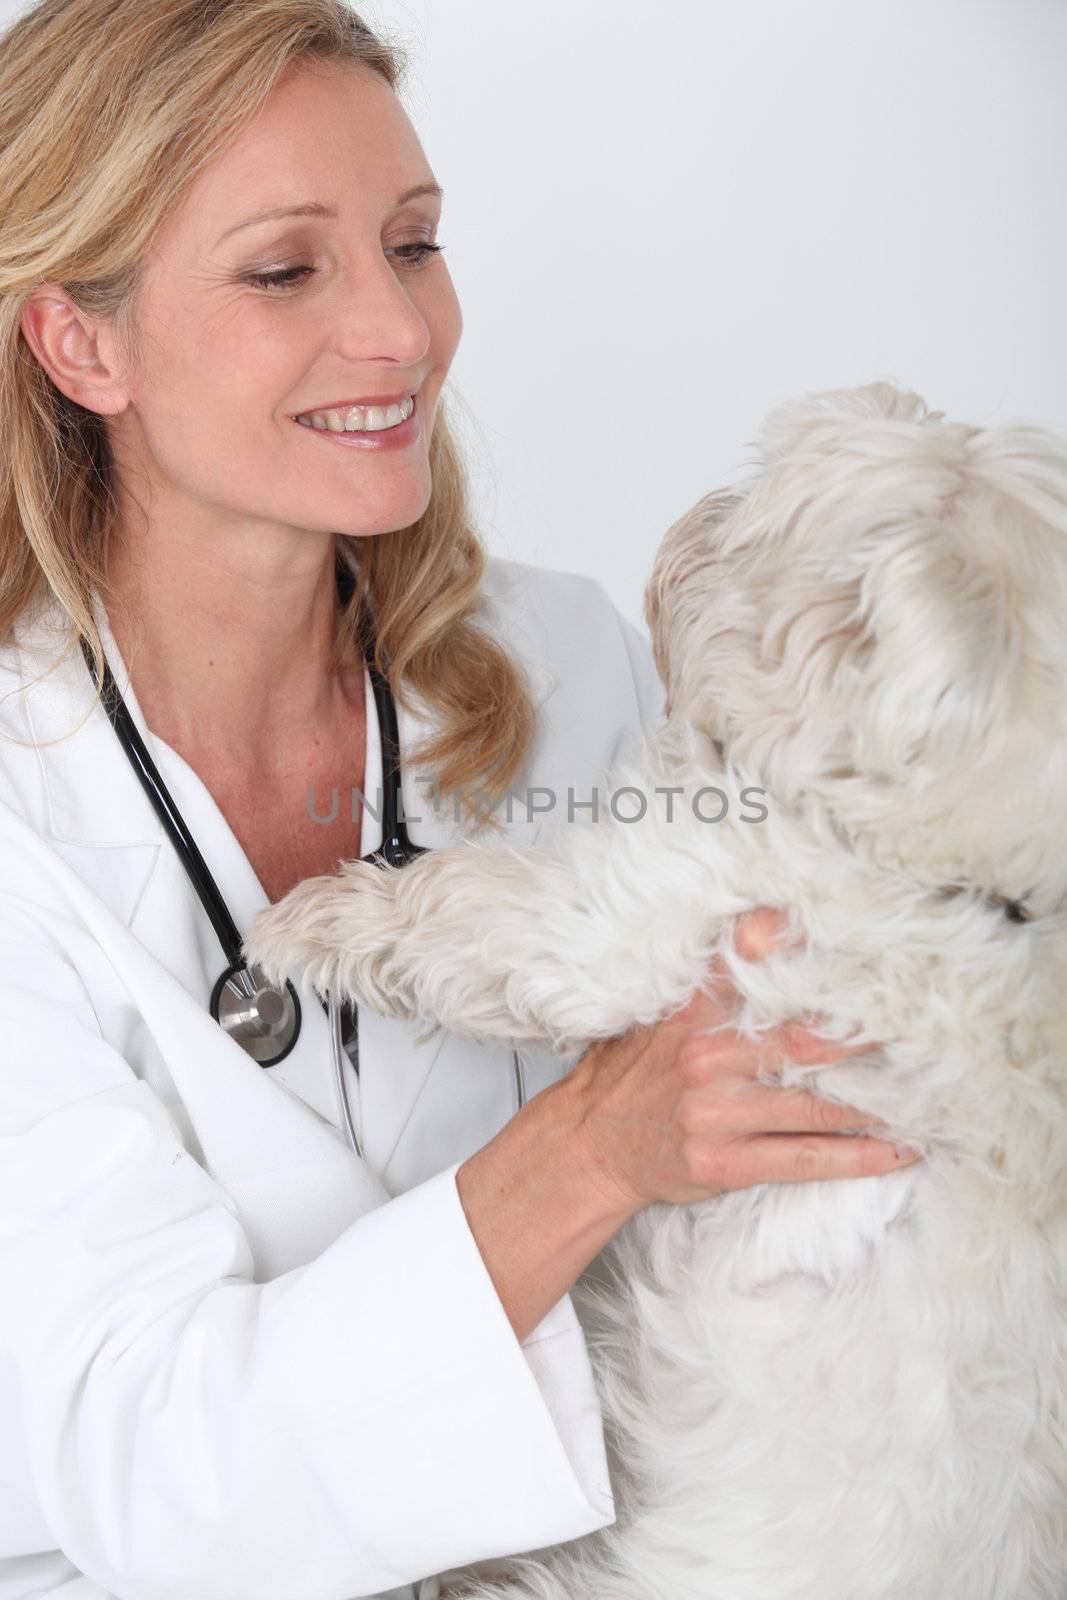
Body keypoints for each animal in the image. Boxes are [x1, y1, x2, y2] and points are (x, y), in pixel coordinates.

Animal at [246, 380, 1067, 1593]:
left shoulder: (638, 908)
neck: (963, 875)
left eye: (758, 510)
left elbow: (467, 913)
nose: (700, 513)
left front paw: (309, 918)